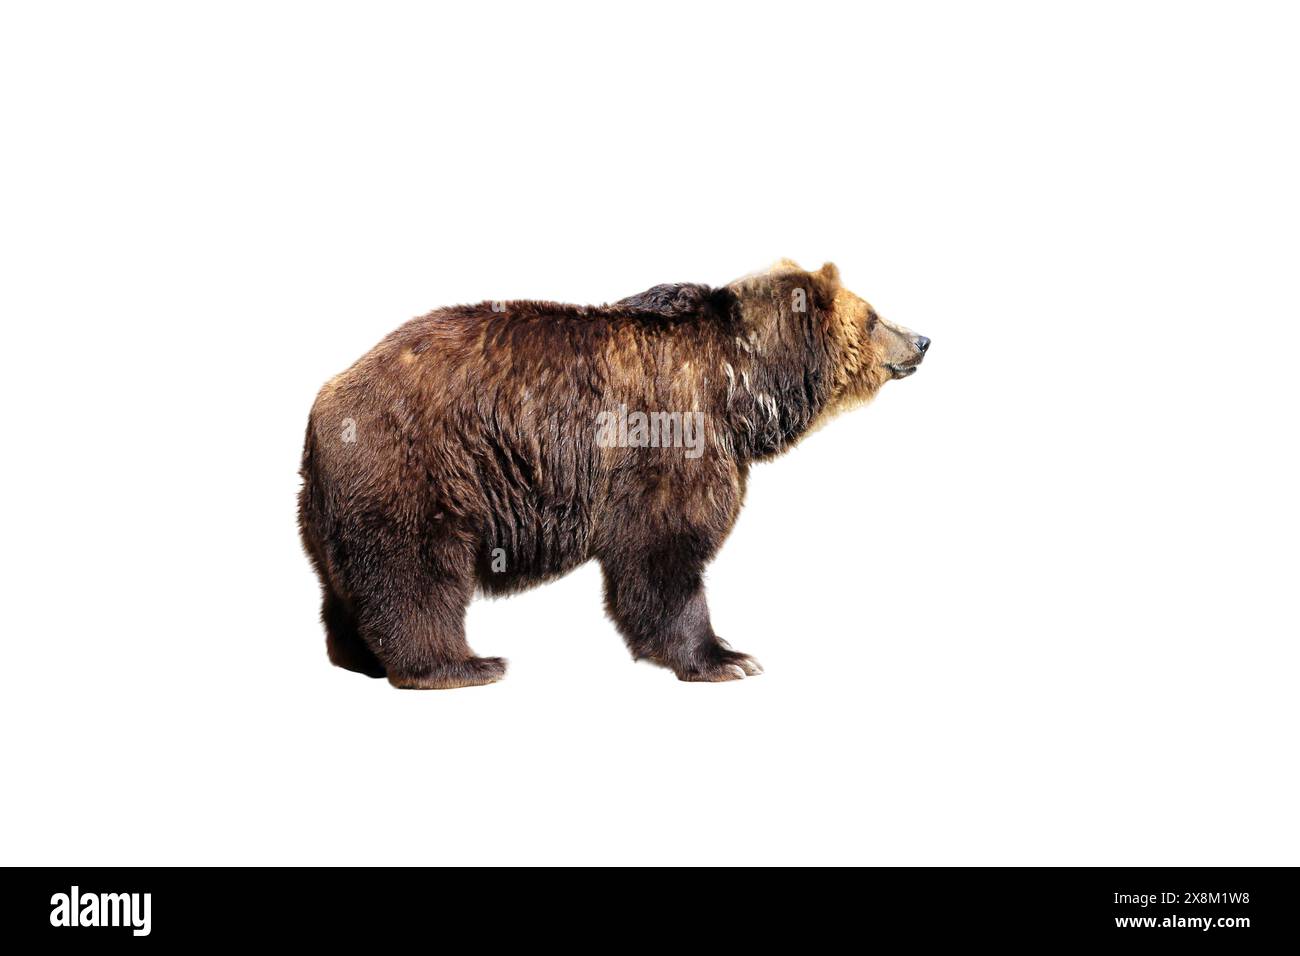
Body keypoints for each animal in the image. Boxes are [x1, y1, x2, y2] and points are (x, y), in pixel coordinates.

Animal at [298, 260, 929, 688]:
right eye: (874, 317)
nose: (922, 339)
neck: (742, 386)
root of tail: (326, 399)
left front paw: (724, 647)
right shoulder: (670, 436)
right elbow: (664, 551)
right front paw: (726, 657)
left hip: (326, 500)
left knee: (342, 578)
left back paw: (359, 657)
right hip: (423, 464)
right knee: (416, 570)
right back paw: (461, 663)